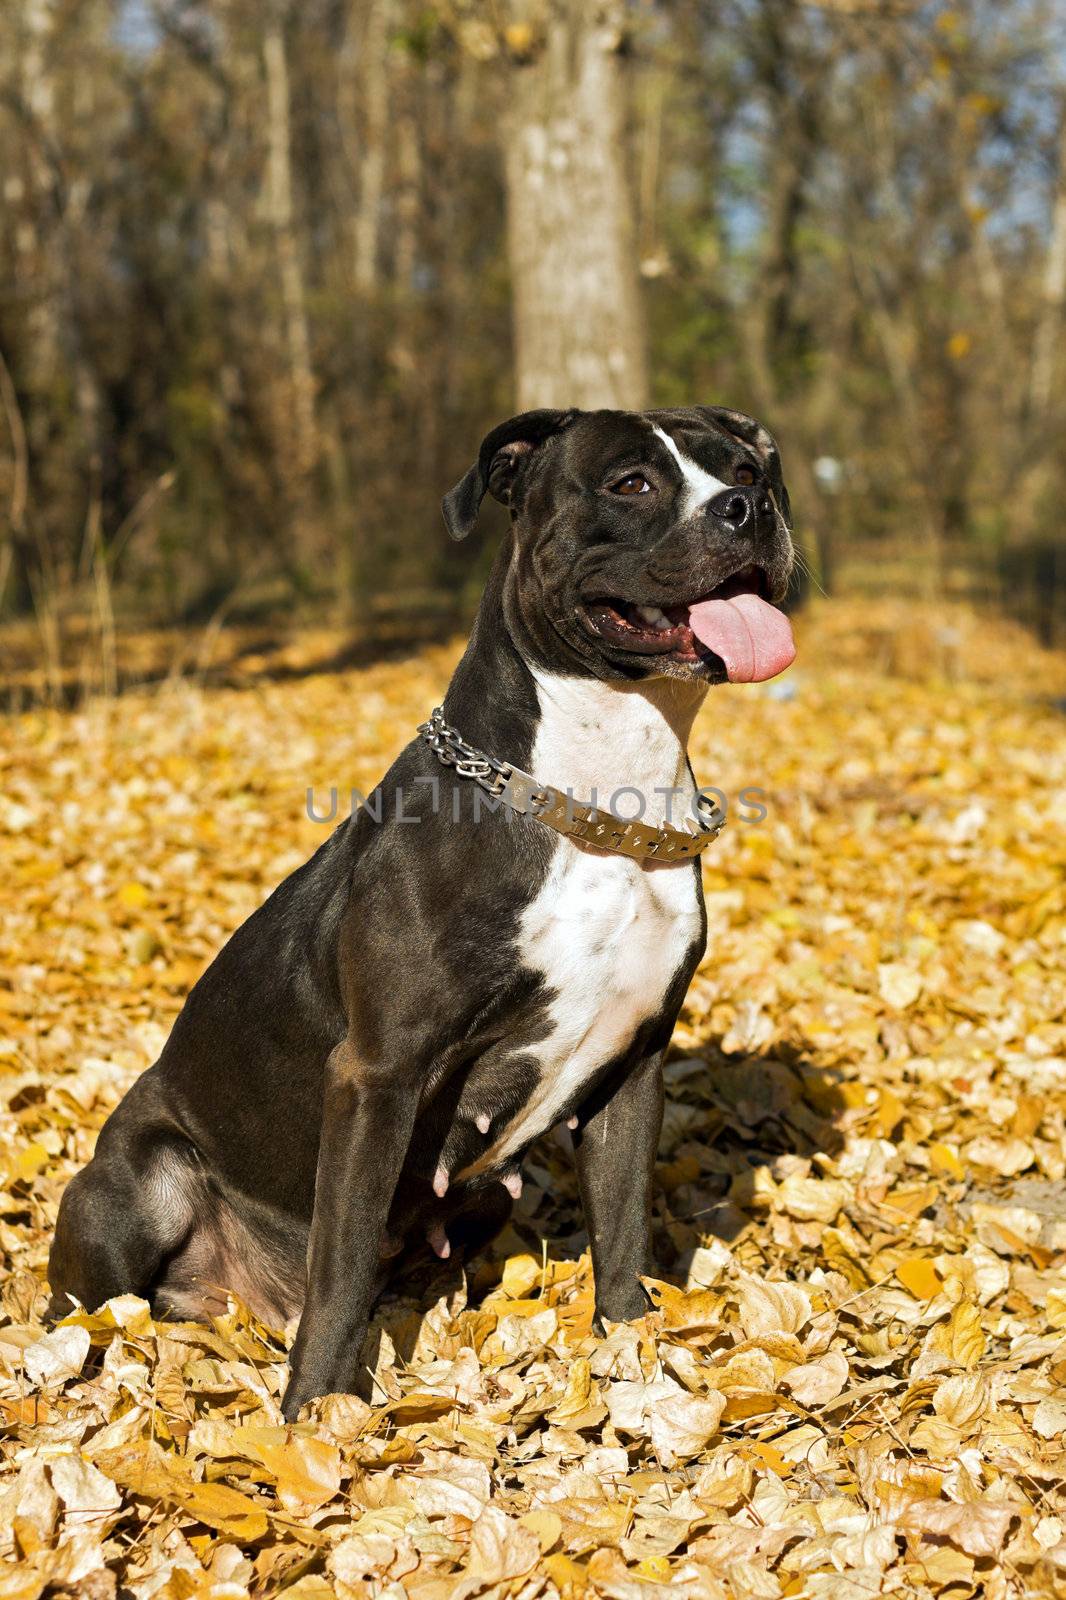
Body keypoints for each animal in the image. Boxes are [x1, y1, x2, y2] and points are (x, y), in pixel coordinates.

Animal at [52, 406, 797, 1420]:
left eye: (749, 468)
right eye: (633, 483)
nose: (746, 508)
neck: (596, 799)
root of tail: (243, 1305)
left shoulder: (634, 1061)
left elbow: (623, 1234)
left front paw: (634, 1360)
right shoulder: (380, 1073)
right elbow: (339, 1270)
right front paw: (315, 1423)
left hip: (484, 1196)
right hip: (142, 1183)